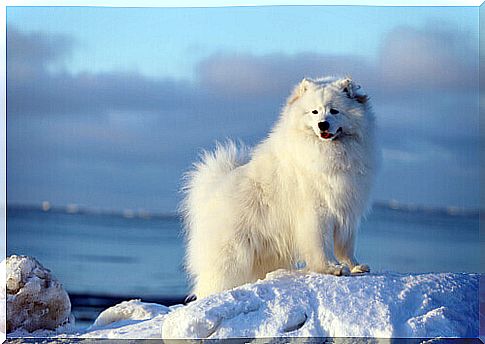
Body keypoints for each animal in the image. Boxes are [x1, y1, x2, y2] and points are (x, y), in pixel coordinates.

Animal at [180, 75, 376, 298]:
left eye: (334, 111)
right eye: (314, 112)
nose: (323, 125)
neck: (330, 152)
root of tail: (213, 188)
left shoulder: (347, 212)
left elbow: (346, 247)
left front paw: (355, 266)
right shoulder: (317, 213)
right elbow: (321, 244)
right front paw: (330, 268)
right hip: (231, 257)